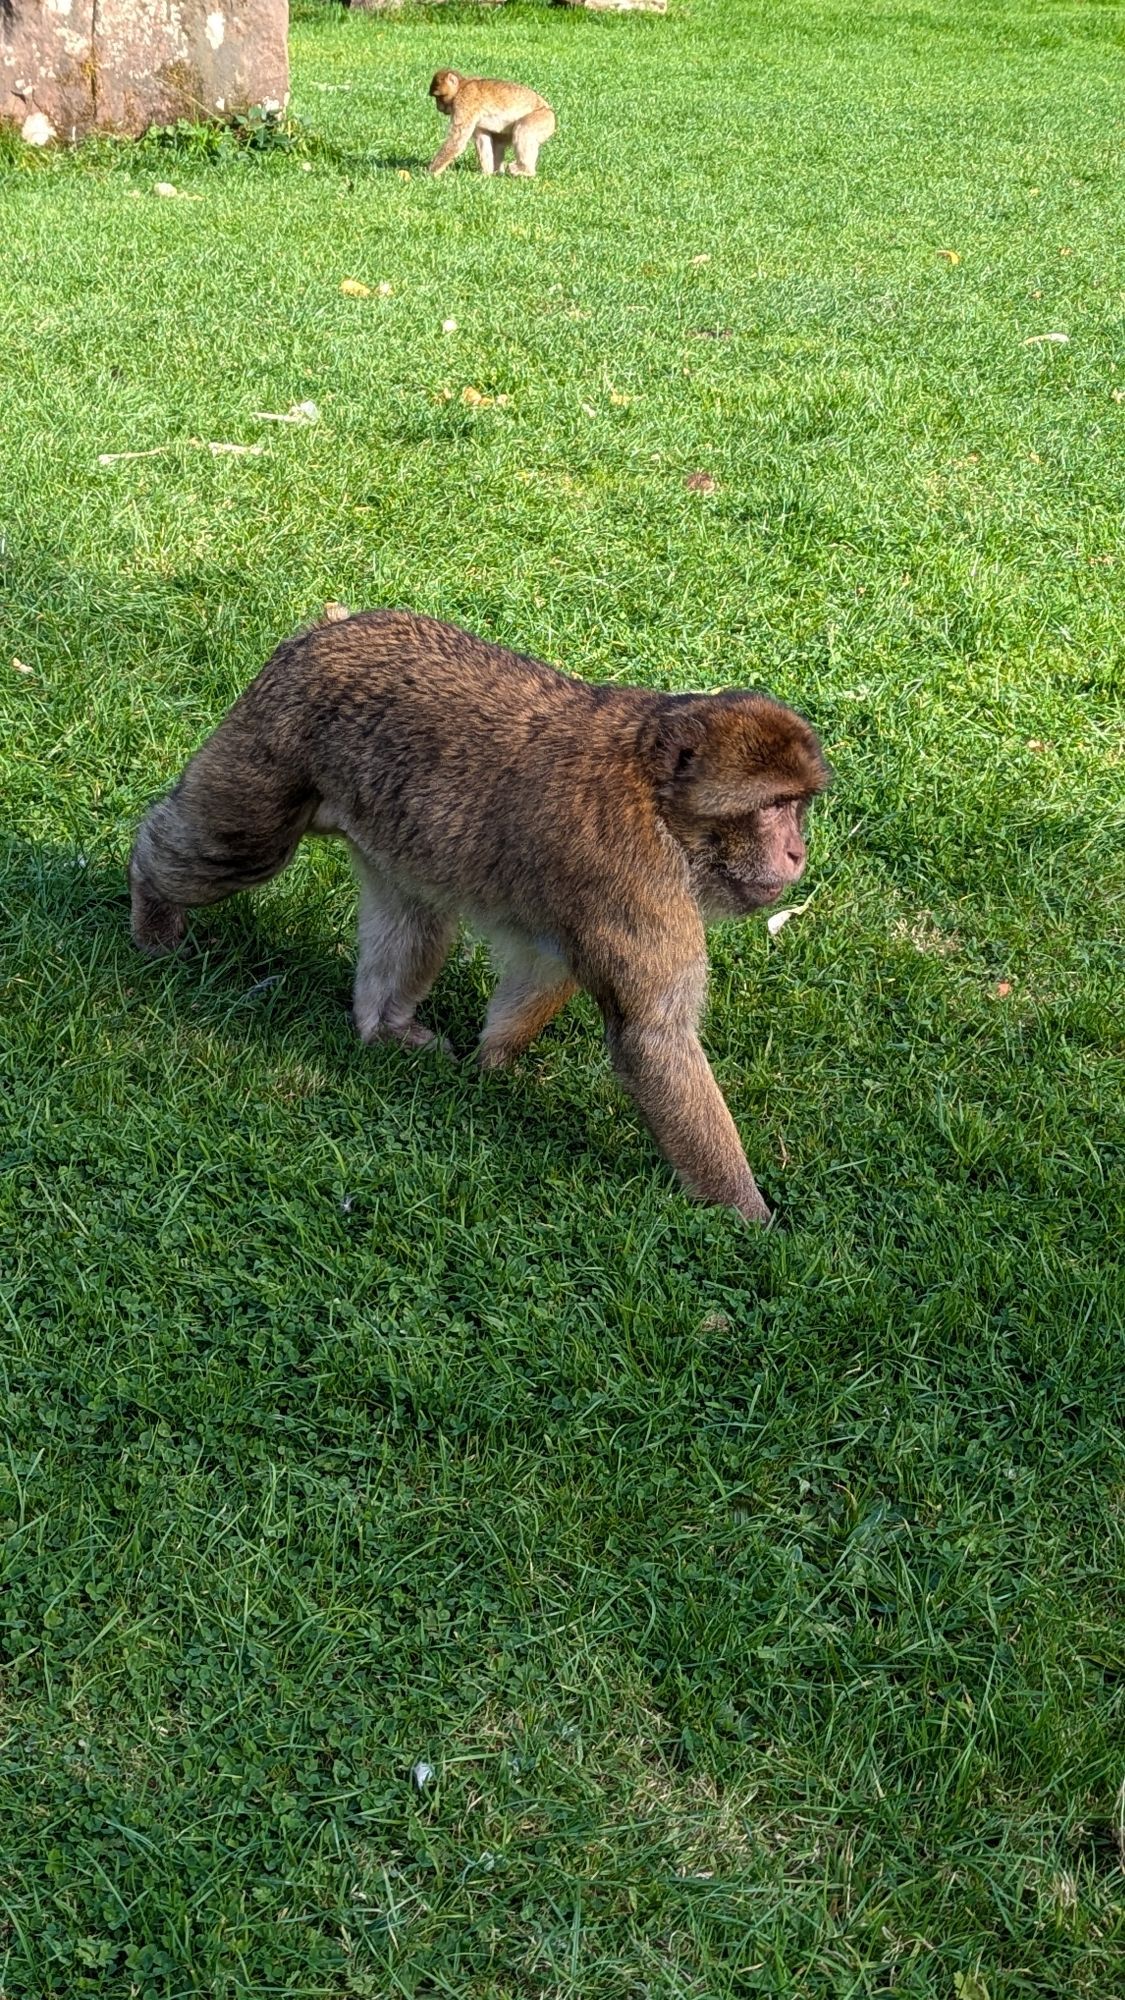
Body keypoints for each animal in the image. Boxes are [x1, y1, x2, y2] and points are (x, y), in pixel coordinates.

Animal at [133, 604, 832, 1216]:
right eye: (772, 806)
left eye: (798, 804)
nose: (797, 851)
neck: (657, 799)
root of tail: (329, 629)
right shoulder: (637, 878)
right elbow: (653, 1034)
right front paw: (748, 1215)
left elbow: (546, 967)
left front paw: (491, 1064)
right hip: (274, 741)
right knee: (237, 850)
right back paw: (150, 905)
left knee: (415, 912)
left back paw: (384, 1028)